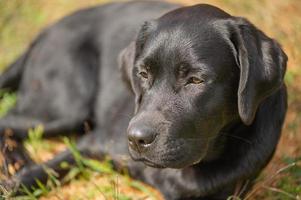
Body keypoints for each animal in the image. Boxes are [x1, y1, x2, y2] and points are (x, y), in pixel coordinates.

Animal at [0, 0, 286, 199]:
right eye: (143, 73)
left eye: (195, 80)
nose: (137, 139)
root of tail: (45, 31)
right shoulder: (96, 141)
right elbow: (51, 166)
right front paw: (13, 184)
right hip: (63, 108)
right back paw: (16, 161)